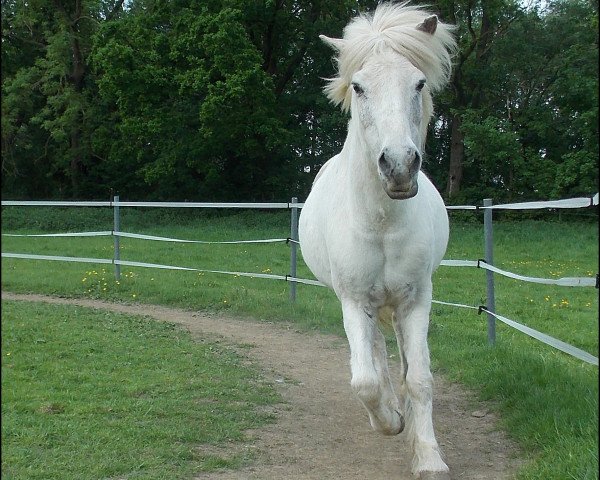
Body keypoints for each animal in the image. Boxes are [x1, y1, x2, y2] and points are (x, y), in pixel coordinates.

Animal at [298, 2, 458, 476]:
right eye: (359, 86)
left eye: (418, 82)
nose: (399, 165)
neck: (382, 224)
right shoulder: (354, 301)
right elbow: (365, 380)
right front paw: (390, 423)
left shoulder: (415, 300)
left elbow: (420, 378)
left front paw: (428, 457)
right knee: (376, 355)